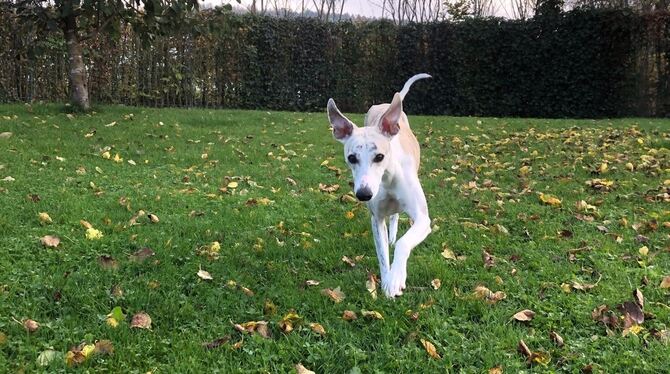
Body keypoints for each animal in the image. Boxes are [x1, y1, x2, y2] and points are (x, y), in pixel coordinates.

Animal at [328, 74, 434, 298]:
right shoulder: (376, 219)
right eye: (352, 158)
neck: (387, 178)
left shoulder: (423, 219)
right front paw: (387, 281)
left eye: (379, 157)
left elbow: (404, 242)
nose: (364, 194)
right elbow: (383, 256)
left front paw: (396, 278)